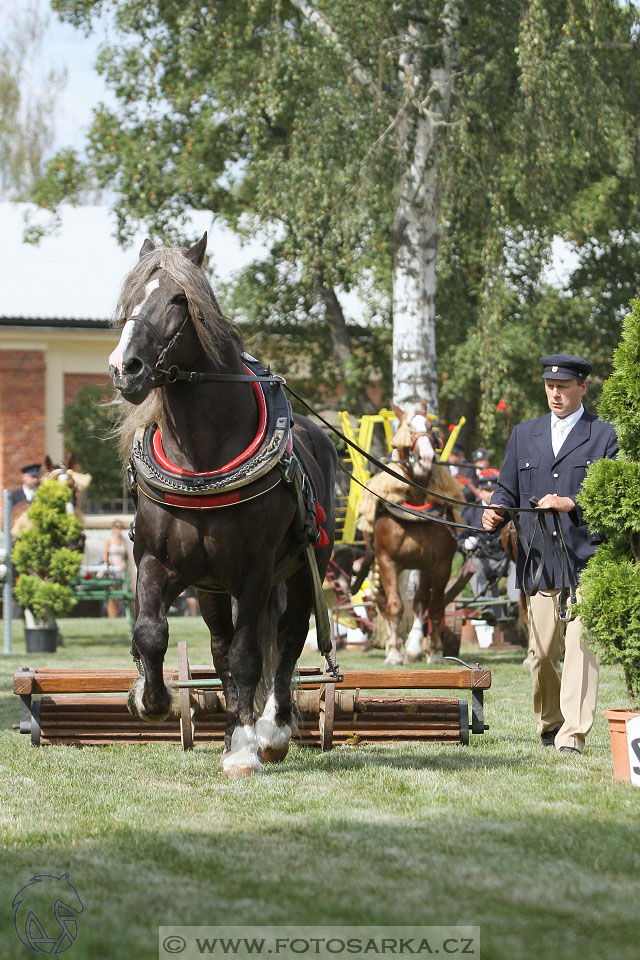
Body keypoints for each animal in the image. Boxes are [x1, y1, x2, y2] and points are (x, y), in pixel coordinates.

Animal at [107, 236, 338, 776]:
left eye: (179, 299)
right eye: (130, 295)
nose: (125, 367)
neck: (202, 456)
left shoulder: (255, 571)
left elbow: (250, 654)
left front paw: (244, 749)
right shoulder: (155, 562)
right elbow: (152, 633)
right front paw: (150, 698)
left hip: (304, 569)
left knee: (289, 638)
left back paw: (272, 729)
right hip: (212, 588)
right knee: (219, 644)